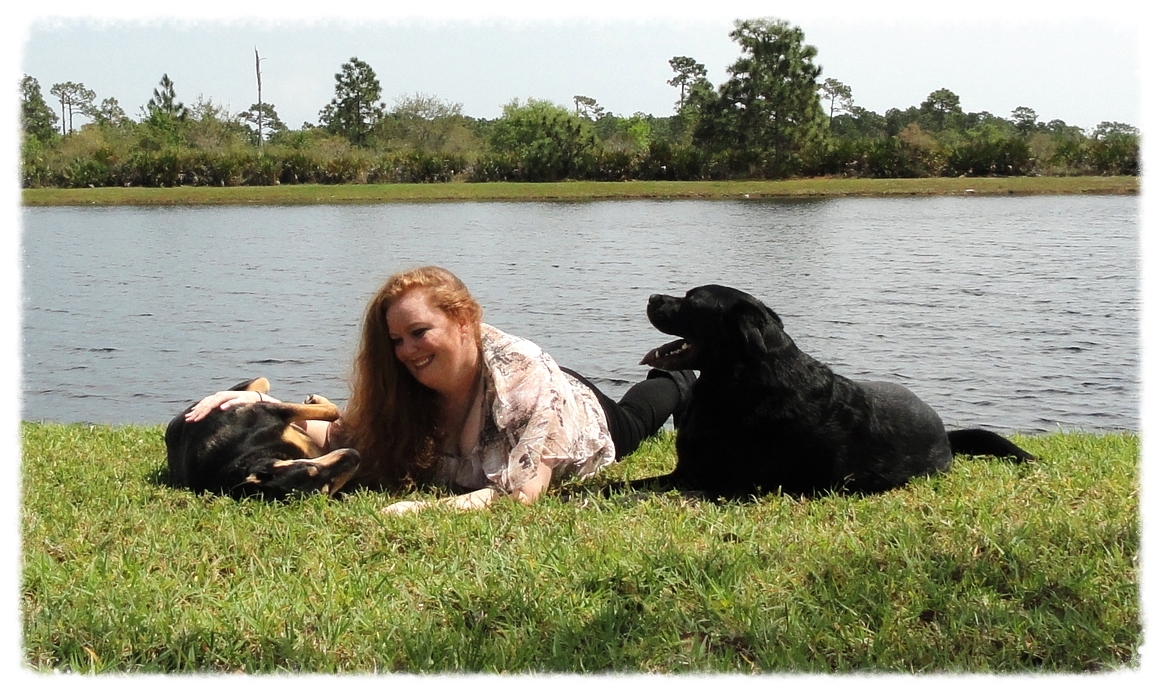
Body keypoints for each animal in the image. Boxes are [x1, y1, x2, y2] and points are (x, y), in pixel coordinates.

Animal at [164, 378, 357, 503]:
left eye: (311, 467)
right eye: (326, 489)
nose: (356, 456)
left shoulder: (272, 411)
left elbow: (331, 412)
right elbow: (333, 412)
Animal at [631, 285, 1040, 496]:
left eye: (692, 299)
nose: (651, 297)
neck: (741, 379)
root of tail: (944, 432)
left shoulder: (707, 481)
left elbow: (628, 486)